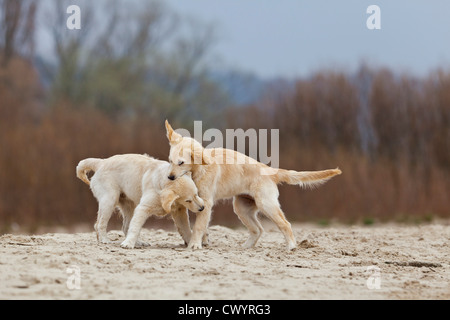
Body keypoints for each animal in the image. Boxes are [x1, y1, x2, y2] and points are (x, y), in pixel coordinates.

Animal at [76, 154, 205, 249]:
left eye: (196, 194)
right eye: (188, 200)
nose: (202, 208)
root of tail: (101, 162)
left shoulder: (179, 211)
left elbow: (186, 228)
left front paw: (192, 243)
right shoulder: (143, 208)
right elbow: (135, 227)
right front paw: (127, 244)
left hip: (129, 204)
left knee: (125, 226)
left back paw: (139, 242)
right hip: (109, 199)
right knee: (100, 224)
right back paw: (104, 240)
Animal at [164, 120, 342, 250]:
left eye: (181, 163)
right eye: (170, 161)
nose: (170, 177)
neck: (198, 169)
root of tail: (270, 170)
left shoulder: (205, 202)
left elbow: (199, 226)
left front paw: (195, 244)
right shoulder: (194, 204)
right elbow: (197, 225)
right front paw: (202, 241)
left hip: (266, 204)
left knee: (285, 224)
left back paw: (291, 246)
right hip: (242, 207)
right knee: (258, 229)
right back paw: (246, 247)